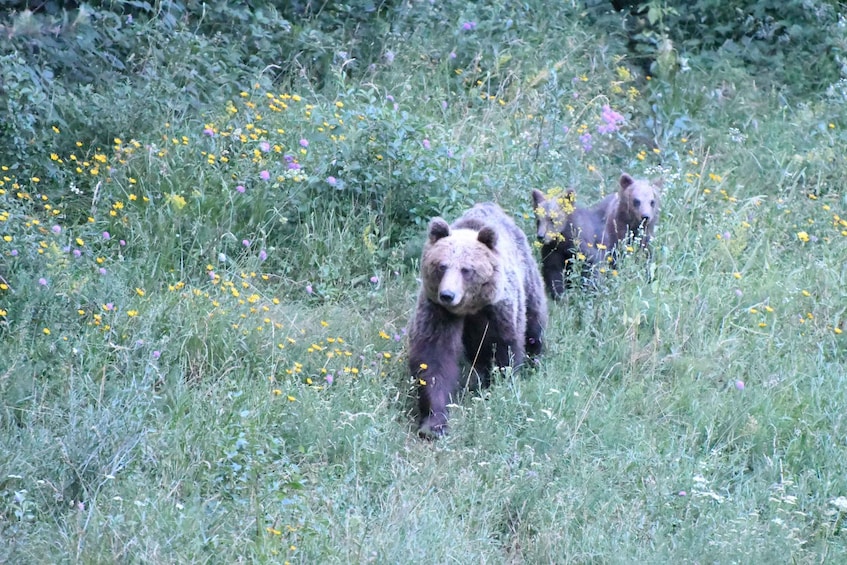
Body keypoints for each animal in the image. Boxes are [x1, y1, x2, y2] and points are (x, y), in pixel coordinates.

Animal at [410, 202, 548, 436]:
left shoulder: (496, 310)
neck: (469, 308)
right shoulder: (437, 312)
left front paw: (494, 387)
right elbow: (434, 358)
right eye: (441, 266)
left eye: (466, 269)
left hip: (528, 277)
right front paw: (434, 423)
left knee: (534, 321)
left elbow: (502, 350)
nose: (447, 295)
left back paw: (535, 358)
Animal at [532, 172, 660, 296]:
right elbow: (554, 273)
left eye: (552, 219)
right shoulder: (553, 251)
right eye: (538, 220)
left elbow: (592, 264)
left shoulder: (584, 244)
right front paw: (560, 295)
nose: (541, 236)